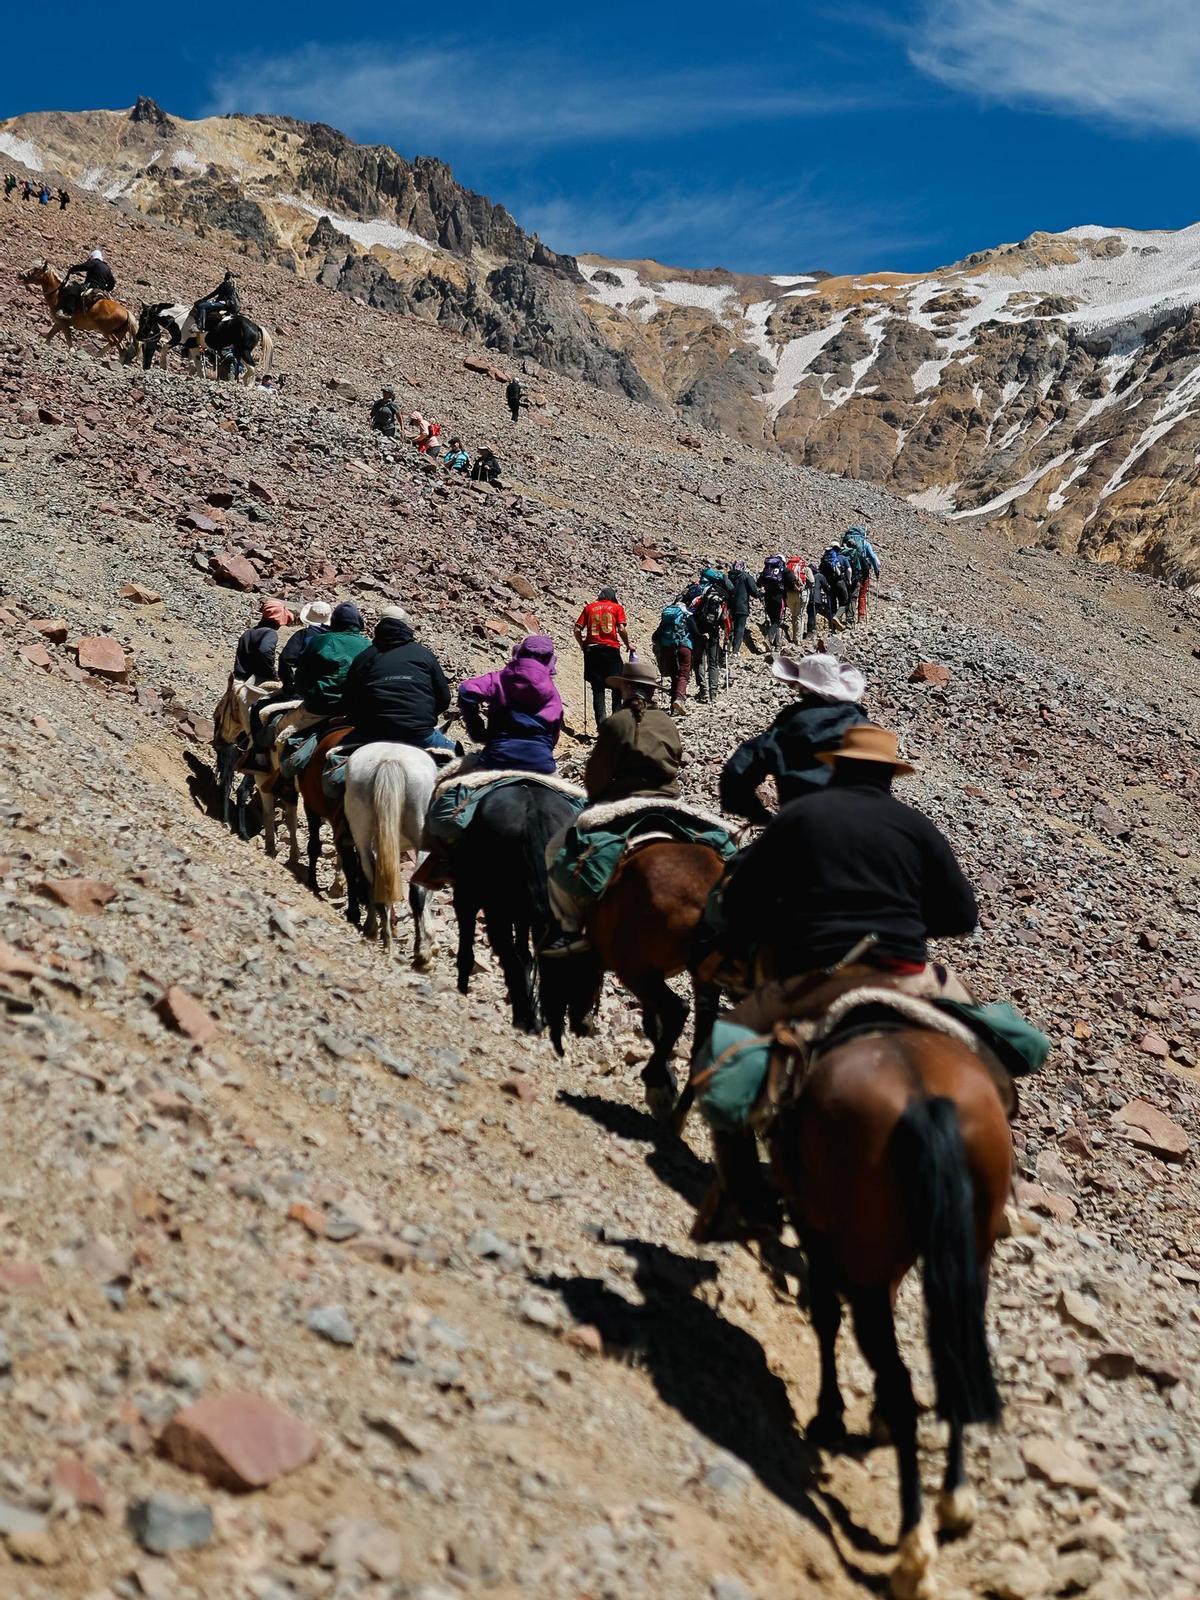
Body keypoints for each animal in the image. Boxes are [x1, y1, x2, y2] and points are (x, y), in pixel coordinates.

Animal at [340, 745, 438, 960]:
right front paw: (432, 940)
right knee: (417, 890)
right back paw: (422, 952)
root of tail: (390, 760)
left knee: (373, 879)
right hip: (421, 841)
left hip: (362, 834)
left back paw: (386, 942)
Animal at [451, 777, 582, 1030]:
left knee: (507, 954)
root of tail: (531, 812)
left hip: (494, 907)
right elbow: (526, 954)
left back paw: (526, 1018)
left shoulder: (466, 896)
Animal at [544, 844, 723, 1120]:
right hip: (699, 979)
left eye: (570, 978)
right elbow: (650, 1024)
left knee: (677, 1010)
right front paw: (667, 1082)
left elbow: (652, 1022)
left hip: (633, 972)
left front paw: (661, 1085)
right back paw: (677, 1117)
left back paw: (654, 1080)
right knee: (701, 1040)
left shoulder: (637, 973)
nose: (580, 1027)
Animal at [742, 966, 1017, 1593]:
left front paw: (828, 1417)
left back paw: (913, 1552)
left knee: (898, 1379)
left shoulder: (815, 1225)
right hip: (971, 1257)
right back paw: (954, 1503)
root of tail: (924, 1100)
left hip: (861, 1255)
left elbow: (824, 1313)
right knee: (952, 1365)